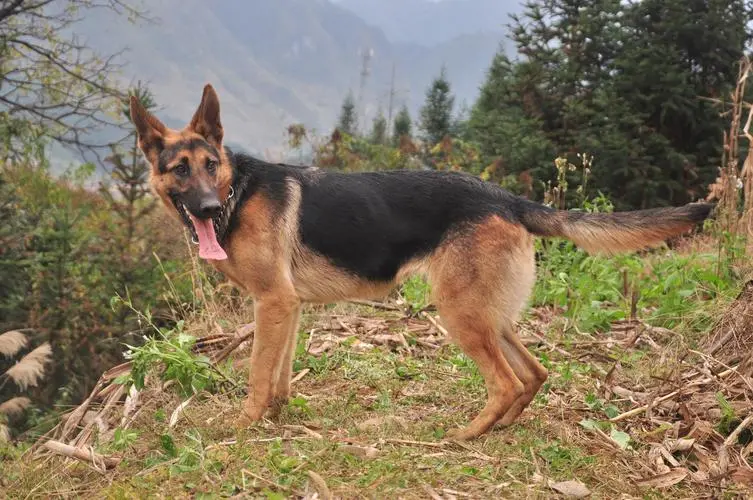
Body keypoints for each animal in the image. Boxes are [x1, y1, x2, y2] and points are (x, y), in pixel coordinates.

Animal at [129, 84, 712, 440]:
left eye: (211, 165)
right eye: (180, 170)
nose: (208, 208)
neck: (238, 191)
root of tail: (508, 199)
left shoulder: (272, 302)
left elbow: (256, 373)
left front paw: (244, 425)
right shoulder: (287, 306)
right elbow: (282, 372)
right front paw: (277, 415)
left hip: (459, 312)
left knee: (505, 380)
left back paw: (467, 434)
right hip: (489, 314)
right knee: (535, 372)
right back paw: (501, 426)